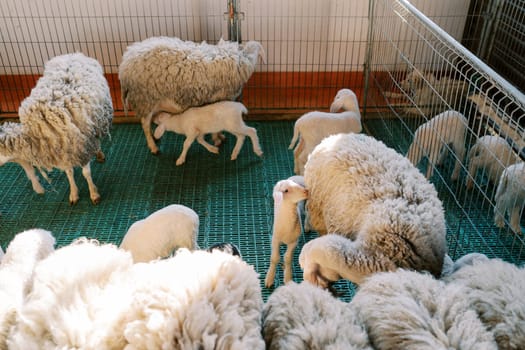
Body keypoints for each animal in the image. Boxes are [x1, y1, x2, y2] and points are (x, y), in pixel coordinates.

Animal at [0, 52, 113, 205]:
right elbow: (69, 172)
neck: (33, 132)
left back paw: (99, 153)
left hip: (96, 121)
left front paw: (94, 194)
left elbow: (86, 173)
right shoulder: (61, 151)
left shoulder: (80, 145)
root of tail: (74, 54)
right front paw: (73, 193)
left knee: (97, 139)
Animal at [119, 36, 266, 154]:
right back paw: (153, 147)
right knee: (144, 123)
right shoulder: (220, 97)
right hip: (146, 99)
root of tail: (124, 65)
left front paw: (218, 137)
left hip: (150, 101)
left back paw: (155, 138)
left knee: (149, 122)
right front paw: (217, 139)